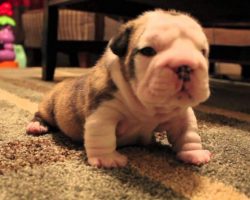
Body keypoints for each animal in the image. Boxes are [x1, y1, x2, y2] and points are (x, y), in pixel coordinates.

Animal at [26, 10, 211, 168]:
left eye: (203, 52)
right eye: (148, 51)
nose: (185, 65)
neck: (149, 106)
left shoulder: (182, 115)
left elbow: (188, 134)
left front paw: (194, 153)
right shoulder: (104, 112)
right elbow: (103, 136)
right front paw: (107, 159)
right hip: (49, 106)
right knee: (40, 115)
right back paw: (36, 126)